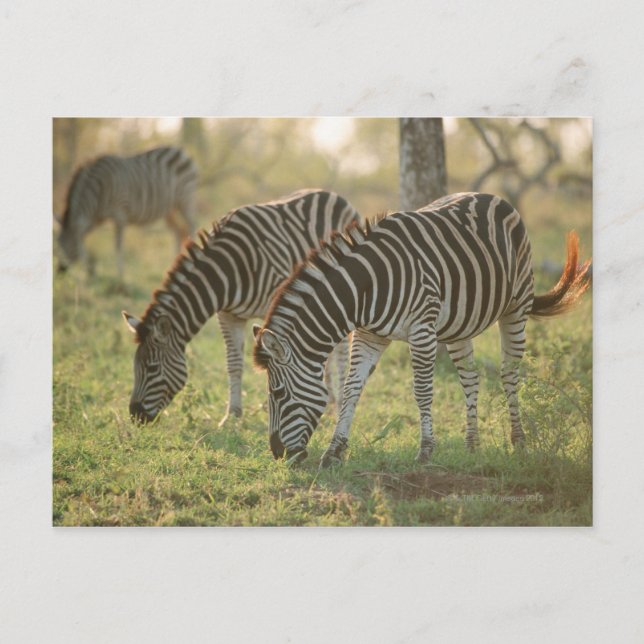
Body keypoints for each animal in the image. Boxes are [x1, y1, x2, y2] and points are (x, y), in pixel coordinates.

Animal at [56, 146, 198, 280]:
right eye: (58, 244)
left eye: (67, 245)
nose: (60, 271)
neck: (97, 193)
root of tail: (181, 151)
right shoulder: (96, 219)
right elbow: (85, 238)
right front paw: (91, 269)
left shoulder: (119, 214)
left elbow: (117, 245)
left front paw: (120, 277)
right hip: (169, 209)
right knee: (178, 231)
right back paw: (174, 263)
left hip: (185, 199)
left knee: (192, 226)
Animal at [122, 189, 360, 426]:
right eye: (134, 366)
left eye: (152, 368)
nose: (135, 416)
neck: (228, 270)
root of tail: (333, 194)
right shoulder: (228, 315)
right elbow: (234, 363)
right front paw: (232, 415)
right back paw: (330, 403)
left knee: (339, 352)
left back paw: (337, 404)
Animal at [253, 192, 591, 467]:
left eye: (278, 393)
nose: (278, 454)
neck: (366, 288)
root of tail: (494, 197)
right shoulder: (368, 335)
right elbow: (351, 389)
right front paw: (334, 451)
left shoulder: (422, 332)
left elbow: (422, 390)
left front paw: (426, 450)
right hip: (459, 325)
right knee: (471, 377)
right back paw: (472, 445)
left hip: (516, 306)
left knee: (509, 374)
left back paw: (519, 442)